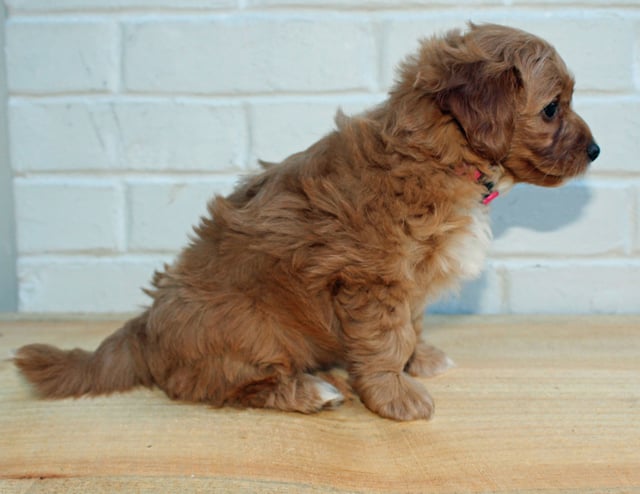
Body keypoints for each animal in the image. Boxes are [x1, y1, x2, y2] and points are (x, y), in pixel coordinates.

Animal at [15, 24, 600, 420]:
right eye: (552, 108)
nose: (597, 150)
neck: (440, 156)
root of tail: (144, 327)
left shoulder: (404, 283)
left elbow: (410, 328)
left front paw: (419, 360)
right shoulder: (371, 279)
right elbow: (387, 340)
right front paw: (395, 396)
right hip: (248, 328)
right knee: (223, 386)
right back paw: (310, 390)